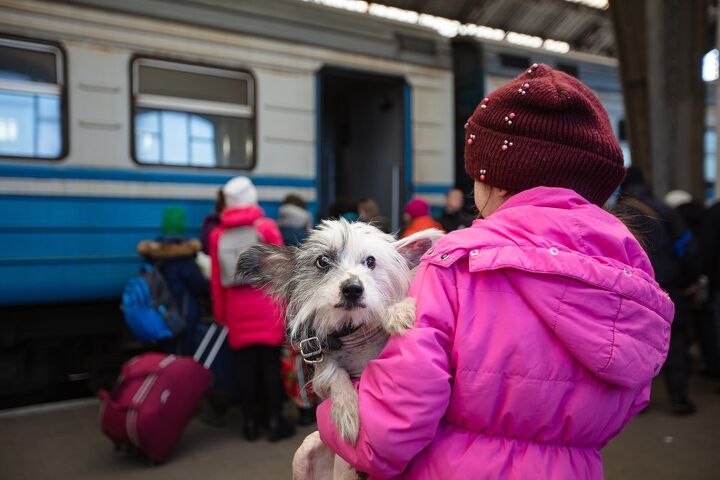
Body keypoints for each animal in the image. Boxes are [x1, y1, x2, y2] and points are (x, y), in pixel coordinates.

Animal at [238, 218, 438, 446]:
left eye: (371, 261)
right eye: (322, 261)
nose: (353, 288)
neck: (353, 332)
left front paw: (397, 311)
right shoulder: (321, 370)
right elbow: (336, 374)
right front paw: (346, 409)